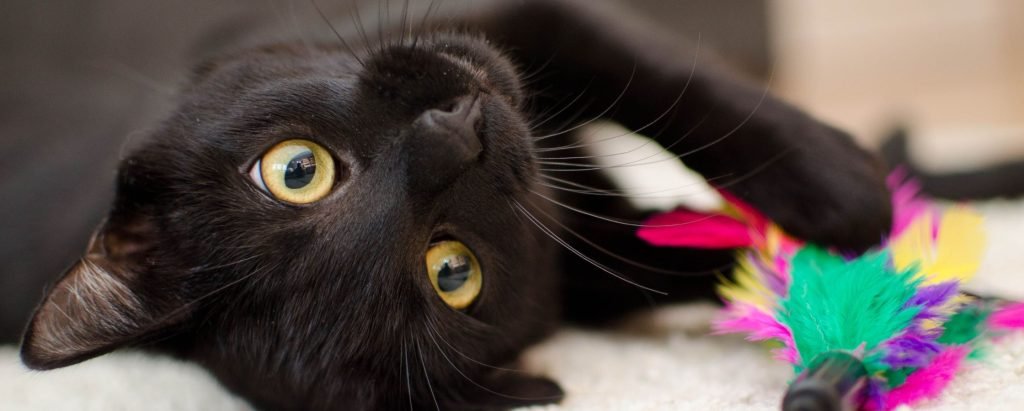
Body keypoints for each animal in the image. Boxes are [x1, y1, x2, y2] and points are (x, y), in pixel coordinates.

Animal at [8, 0, 892, 409]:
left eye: (296, 169)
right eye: (451, 270)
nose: (456, 136)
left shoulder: (519, 18)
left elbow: (666, 78)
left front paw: (847, 191)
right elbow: (685, 254)